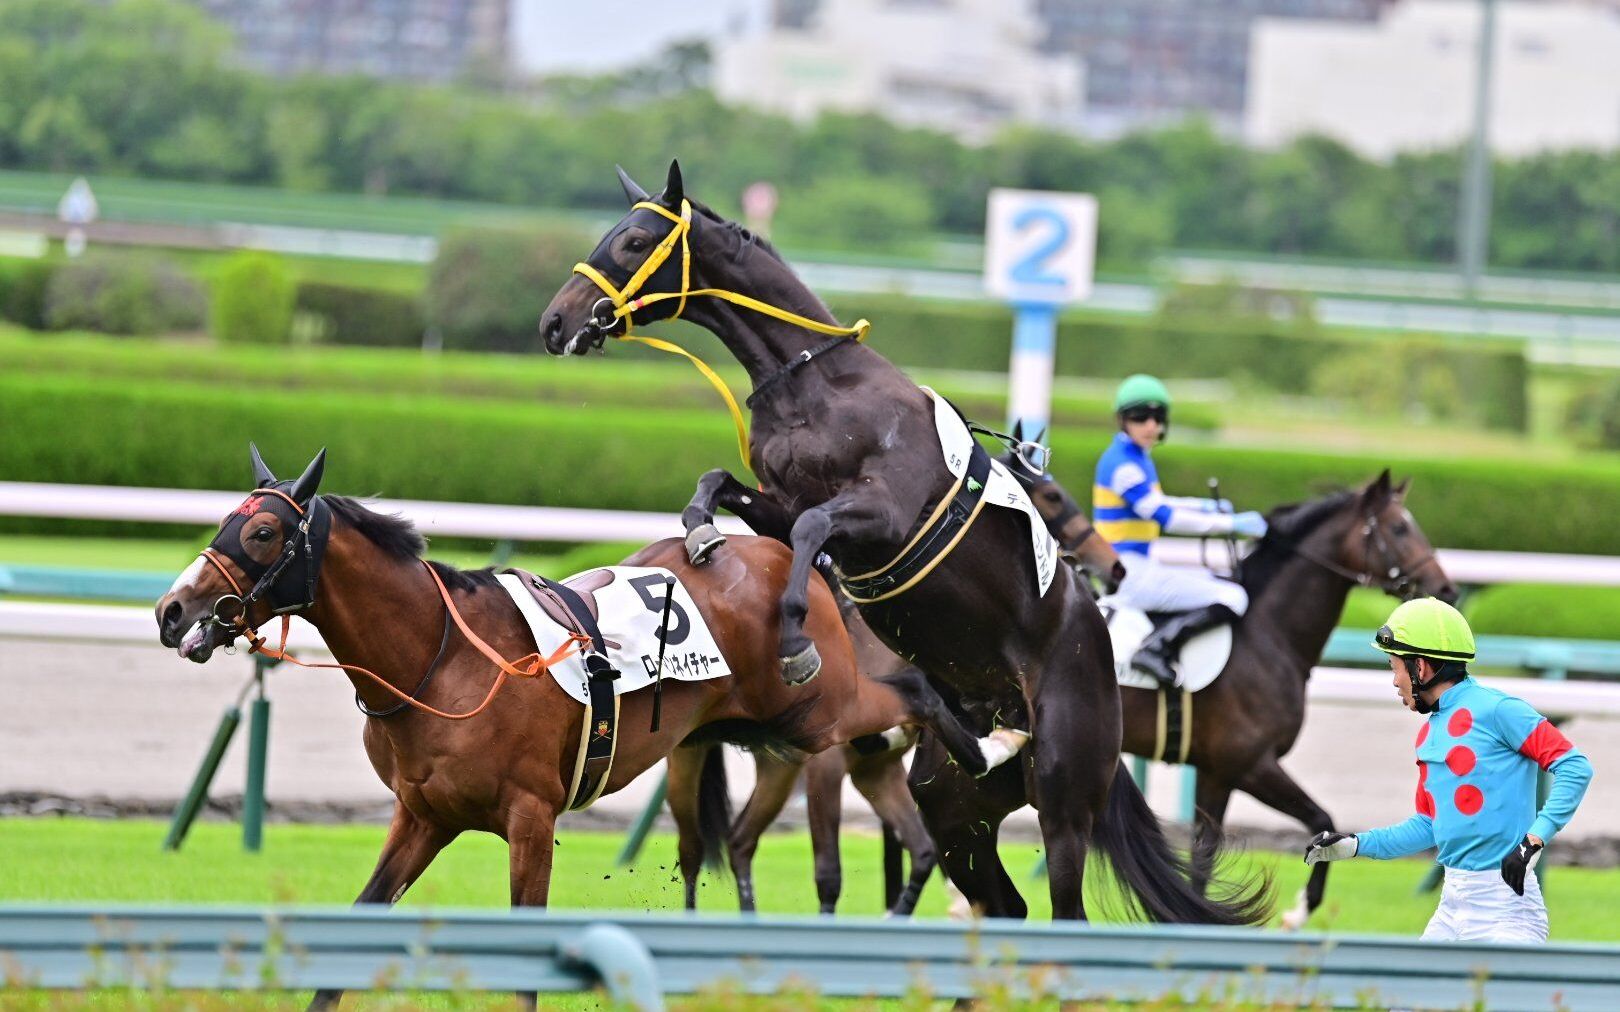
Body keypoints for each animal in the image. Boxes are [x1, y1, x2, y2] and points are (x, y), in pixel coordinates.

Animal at [157, 446, 1030, 1003]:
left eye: (262, 531)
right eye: (225, 522)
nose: (172, 610)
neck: (439, 660)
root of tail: (785, 551)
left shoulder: (530, 817)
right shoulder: (425, 814)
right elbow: (363, 919)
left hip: (820, 709)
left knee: (911, 690)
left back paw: (992, 740)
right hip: (750, 734)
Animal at [537, 159, 1270, 926]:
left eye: (633, 240)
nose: (555, 321)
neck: (818, 383)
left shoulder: (883, 515)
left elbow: (811, 532)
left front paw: (795, 643)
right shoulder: (785, 502)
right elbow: (722, 489)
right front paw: (705, 534)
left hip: (1065, 792)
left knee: (1065, 906)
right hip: (953, 801)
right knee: (997, 894)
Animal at [1023, 466, 1458, 926]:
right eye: (1399, 528)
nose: (1446, 588)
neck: (1267, 636)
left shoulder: (1216, 773)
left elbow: (1203, 858)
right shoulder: (1251, 763)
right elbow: (1321, 818)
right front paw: (1299, 911)